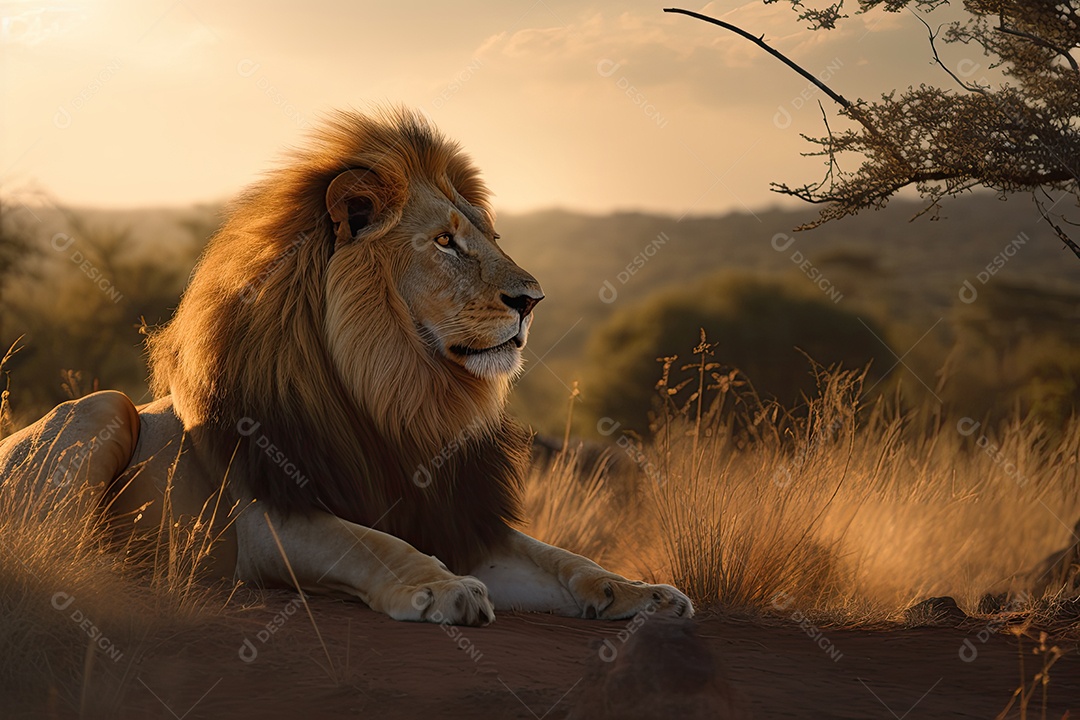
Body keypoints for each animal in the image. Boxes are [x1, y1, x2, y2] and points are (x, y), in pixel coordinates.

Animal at [0, 107, 692, 625]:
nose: (533, 301)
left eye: (489, 239)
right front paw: (445, 588)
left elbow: (563, 560)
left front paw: (643, 592)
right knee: (47, 551)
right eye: (445, 242)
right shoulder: (268, 519)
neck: (400, 398)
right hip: (104, 407)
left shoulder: (454, 517)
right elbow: (371, 543)